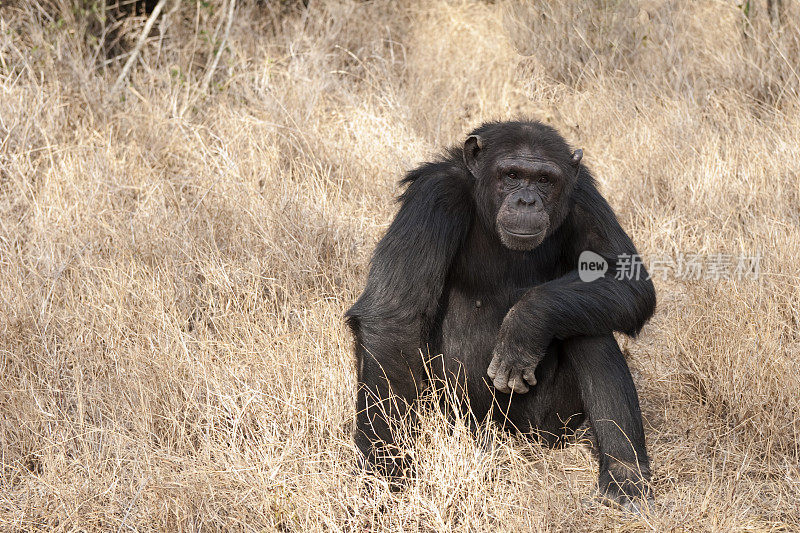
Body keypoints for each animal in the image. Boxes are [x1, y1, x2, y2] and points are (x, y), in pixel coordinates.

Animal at [344, 118, 656, 504]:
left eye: (545, 180)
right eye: (511, 174)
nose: (526, 199)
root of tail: (519, 442)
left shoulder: (585, 196)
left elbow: (628, 279)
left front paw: (526, 323)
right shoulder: (433, 197)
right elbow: (394, 319)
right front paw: (385, 475)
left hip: (552, 428)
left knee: (591, 329)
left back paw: (625, 481)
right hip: (468, 421)